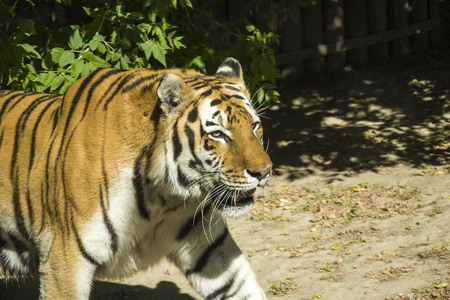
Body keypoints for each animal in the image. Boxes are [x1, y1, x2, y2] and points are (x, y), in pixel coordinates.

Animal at [0, 57, 272, 298]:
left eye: (254, 126)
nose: (263, 172)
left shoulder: (209, 248)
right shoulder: (64, 256)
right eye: (217, 134)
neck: (164, 198)